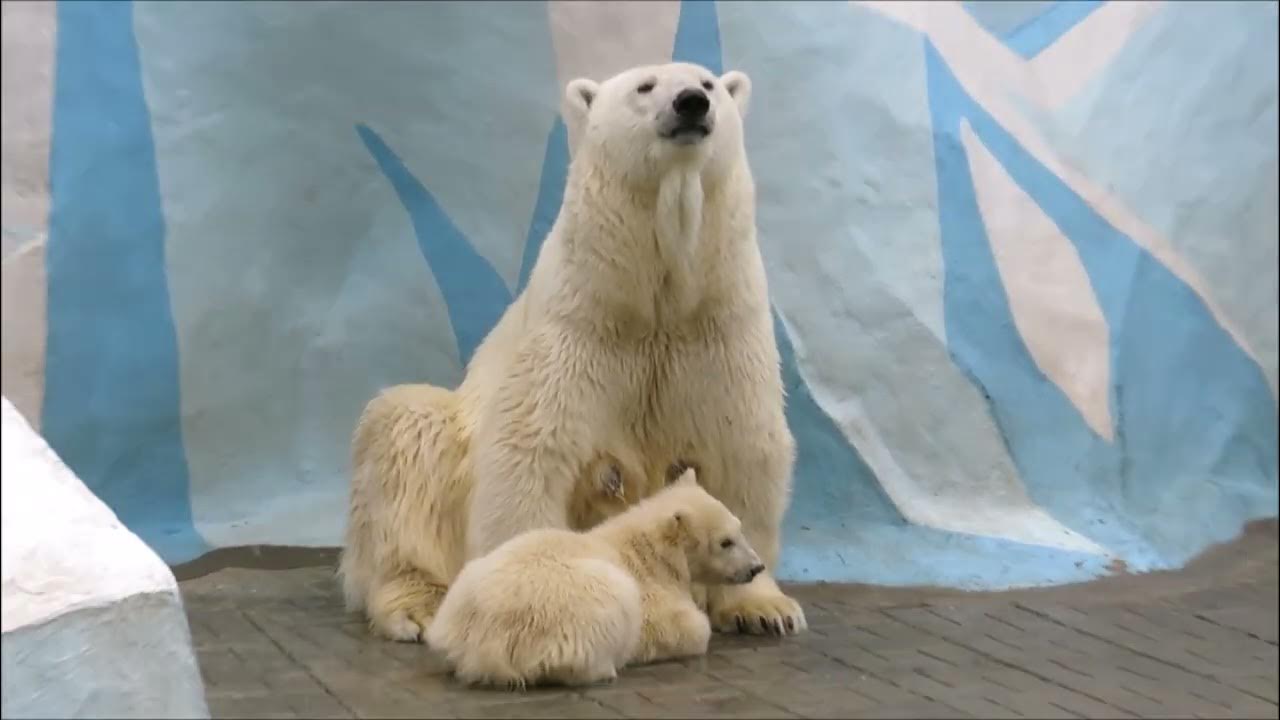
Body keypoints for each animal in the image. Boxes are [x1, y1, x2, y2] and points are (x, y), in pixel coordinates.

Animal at [348, 60, 808, 632]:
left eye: (707, 83)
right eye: (645, 86)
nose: (690, 104)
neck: (656, 298)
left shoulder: (718, 328)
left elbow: (744, 447)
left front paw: (764, 609)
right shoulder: (580, 327)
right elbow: (529, 452)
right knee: (404, 436)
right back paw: (416, 603)